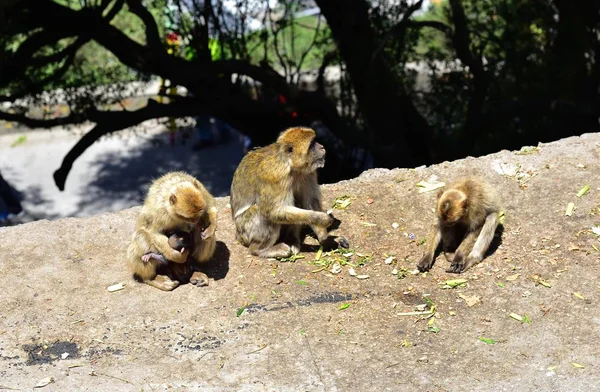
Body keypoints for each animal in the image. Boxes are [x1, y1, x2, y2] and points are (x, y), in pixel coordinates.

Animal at [232, 127, 350, 258]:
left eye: (315, 141)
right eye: (312, 144)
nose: (322, 147)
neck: (290, 165)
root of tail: (238, 235)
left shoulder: (308, 173)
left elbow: (309, 203)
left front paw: (326, 240)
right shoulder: (276, 176)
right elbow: (273, 211)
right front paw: (323, 219)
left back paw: (292, 239)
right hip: (246, 230)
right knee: (262, 212)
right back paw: (260, 250)